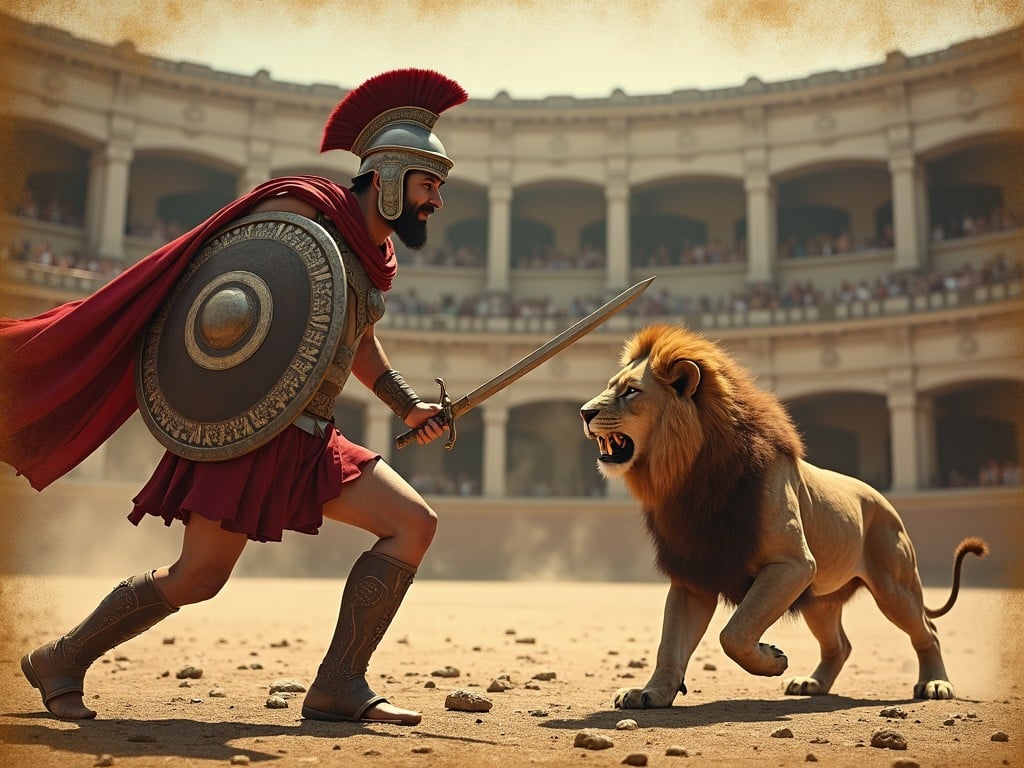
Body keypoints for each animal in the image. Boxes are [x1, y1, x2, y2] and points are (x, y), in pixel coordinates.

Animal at [581, 321, 987, 708]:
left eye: (631, 391)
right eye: (610, 387)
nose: (585, 412)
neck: (688, 479)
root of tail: (884, 501)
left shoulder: (792, 565)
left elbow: (734, 632)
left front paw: (771, 659)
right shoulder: (693, 574)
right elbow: (670, 644)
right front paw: (652, 693)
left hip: (893, 586)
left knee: (927, 631)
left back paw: (935, 684)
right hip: (821, 600)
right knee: (840, 644)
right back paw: (813, 684)